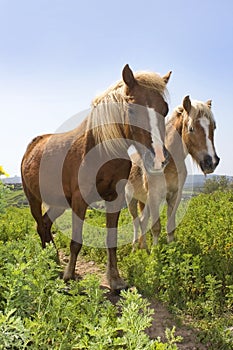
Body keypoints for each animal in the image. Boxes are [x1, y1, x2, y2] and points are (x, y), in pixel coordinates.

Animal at [20, 64, 172, 292]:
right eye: (132, 109)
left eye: (165, 109)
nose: (159, 158)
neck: (101, 149)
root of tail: (32, 147)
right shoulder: (79, 200)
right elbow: (76, 241)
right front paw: (69, 276)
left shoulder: (115, 199)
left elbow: (111, 240)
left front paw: (115, 280)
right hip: (33, 200)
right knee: (40, 224)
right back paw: (51, 265)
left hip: (58, 203)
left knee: (46, 224)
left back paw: (53, 260)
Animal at [125, 95, 218, 249]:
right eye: (191, 128)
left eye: (213, 127)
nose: (211, 162)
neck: (169, 164)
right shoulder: (155, 197)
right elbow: (156, 227)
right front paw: (155, 252)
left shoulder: (175, 196)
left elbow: (170, 227)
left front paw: (170, 248)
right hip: (131, 200)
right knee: (136, 222)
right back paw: (134, 248)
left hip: (144, 201)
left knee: (143, 221)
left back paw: (143, 248)